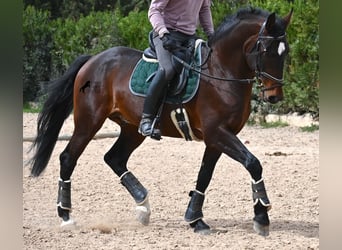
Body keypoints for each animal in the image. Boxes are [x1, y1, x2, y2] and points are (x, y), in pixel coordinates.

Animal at [28, 6, 292, 236]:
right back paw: (65, 216)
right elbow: (253, 163)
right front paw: (262, 217)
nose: (274, 96)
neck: (221, 71)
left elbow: (204, 175)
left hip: (132, 129)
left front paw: (195, 219)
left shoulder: (216, 138)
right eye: (266, 50)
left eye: (286, 51)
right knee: (68, 158)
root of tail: (94, 60)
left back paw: (143, 206)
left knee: (114, 158)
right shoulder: (217, 133)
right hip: (88, 122)